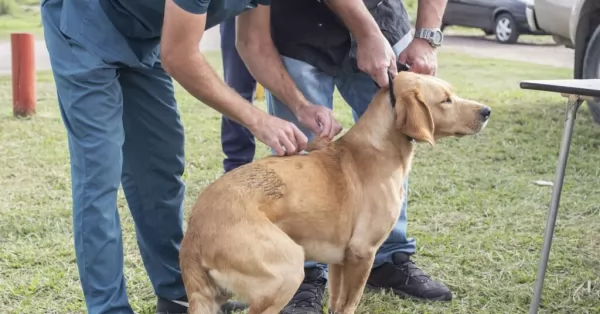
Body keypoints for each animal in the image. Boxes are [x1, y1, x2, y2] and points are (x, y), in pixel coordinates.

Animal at [180, 72, 490, 314]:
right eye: (446, 100)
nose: (486, 111)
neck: (378, 147)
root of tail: (193, 236)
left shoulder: (340, 258)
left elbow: (337, 302)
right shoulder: (363, 253)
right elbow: (350, 303)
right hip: (287, 271)